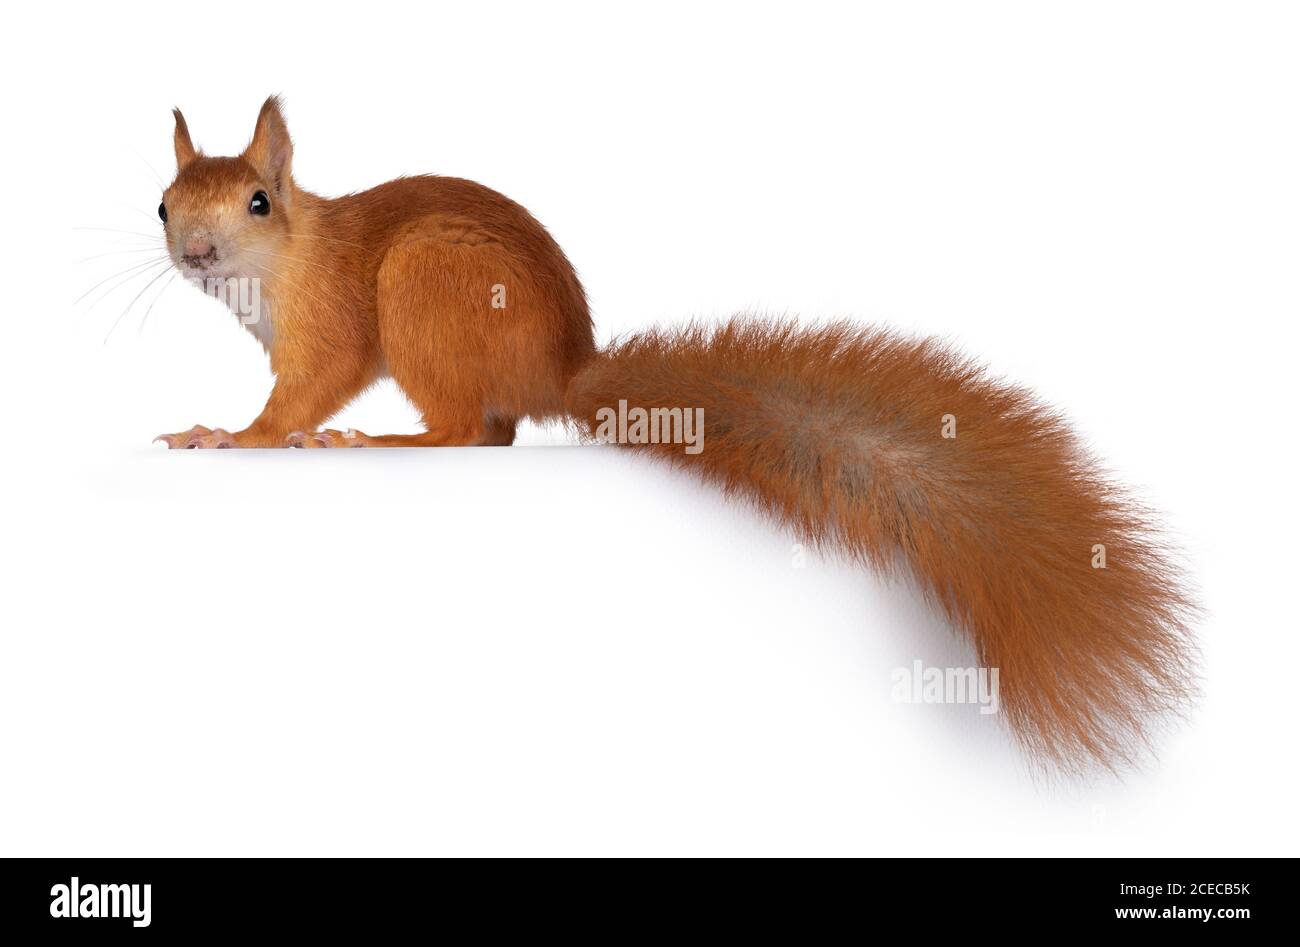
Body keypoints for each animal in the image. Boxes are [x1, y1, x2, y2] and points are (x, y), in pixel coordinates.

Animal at [154, 97, 1195, 771]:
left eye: (257, 203)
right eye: (162, 205)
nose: (194, 255)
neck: (283, 264)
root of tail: (562, 368)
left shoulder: (331, 327)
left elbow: (304, 395)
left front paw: (232, 434)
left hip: (423, 290)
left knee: (462, 430)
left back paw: (380, 443)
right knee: (493, 435)